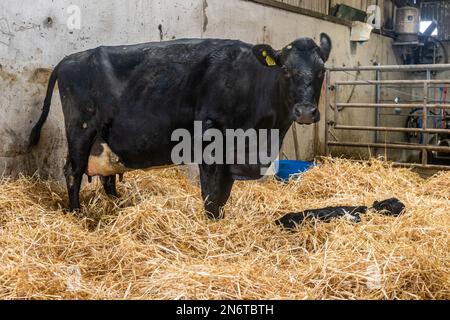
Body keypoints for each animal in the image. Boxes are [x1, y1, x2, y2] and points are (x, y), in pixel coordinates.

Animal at [28, 34, 330, 220]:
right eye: (285, 70)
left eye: (322, 71)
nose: (305, 112)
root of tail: (69, 60)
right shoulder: (212, 140)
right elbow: (212, 194)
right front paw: (212, 224)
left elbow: (223, 194)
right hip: (81, 128)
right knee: (73, 171)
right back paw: (77, 214)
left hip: (103, 138)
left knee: (107, 175)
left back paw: (118, 204)